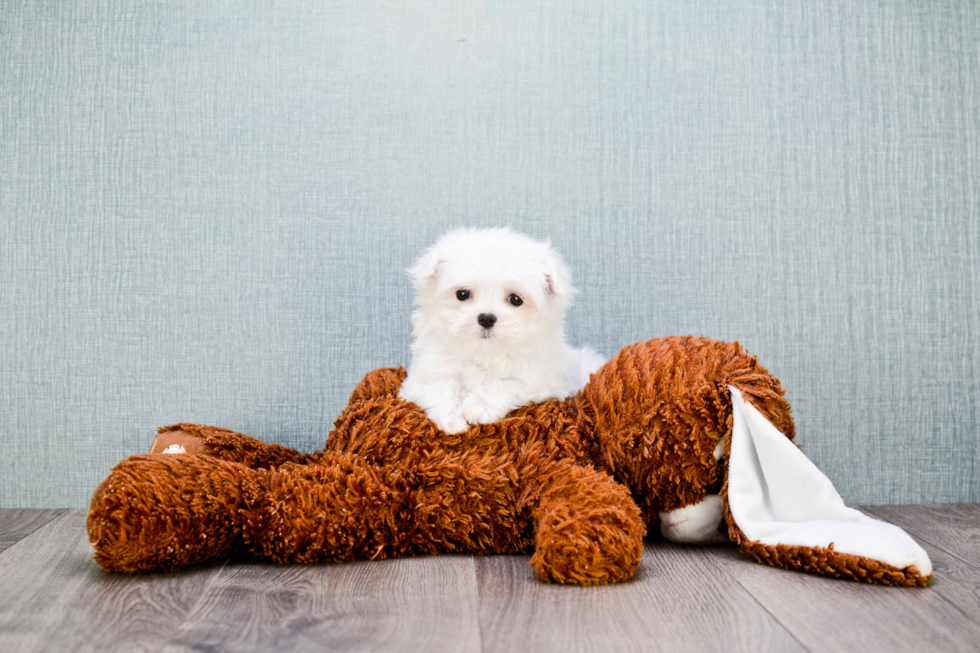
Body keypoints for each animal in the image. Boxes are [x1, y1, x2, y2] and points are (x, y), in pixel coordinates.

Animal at [398, 227, 604, 436]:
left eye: (515, 299)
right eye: (462, 294)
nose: (486, 318)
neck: (484, 353)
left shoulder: (546, 382)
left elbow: (507, 384)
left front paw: (479, 406)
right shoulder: (423, 377)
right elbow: (440, 387)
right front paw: (452, 419)